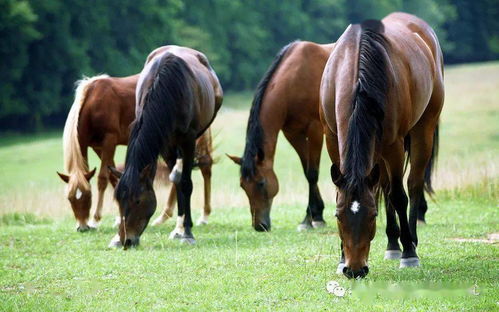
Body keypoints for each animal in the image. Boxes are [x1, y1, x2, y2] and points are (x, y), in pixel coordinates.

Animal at [57, 73, 214, 232]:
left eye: (88, 196)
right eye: (69, 198)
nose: (82, 227)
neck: (92, 103)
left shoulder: (109, 141)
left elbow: (103, 179)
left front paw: (95, 220)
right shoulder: (97, 147)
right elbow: (114, 177)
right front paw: (120, 217)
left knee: (205, 165)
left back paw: (203, 216)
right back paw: (164, 216)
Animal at [110, 45, 225, 249]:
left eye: (138, 201)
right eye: (118, 201)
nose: (127, 240)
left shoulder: (188, 140)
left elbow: (186, 183)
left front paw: (187, 232)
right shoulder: (164, 143)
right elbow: (177, 181)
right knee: (176, 177)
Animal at [228, 40, 336, 232]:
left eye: (261, 183)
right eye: (242, 185)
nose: (260, 226)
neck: (295, 80)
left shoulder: (315, 130)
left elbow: (312, 173)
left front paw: (311, 219)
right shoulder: (293, 134)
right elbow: (306, 171)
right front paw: (315, 215)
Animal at [320, 12, 446, 280]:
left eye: (372, 216)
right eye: (338, 215)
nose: (354, 270)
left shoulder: (394, 145)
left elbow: (398, 196)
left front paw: (409, 254)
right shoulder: (332, 138)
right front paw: (340, 258)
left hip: (423, 130)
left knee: (413, 184)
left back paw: (410, 241)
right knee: (386, 186)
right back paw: (392, 244)